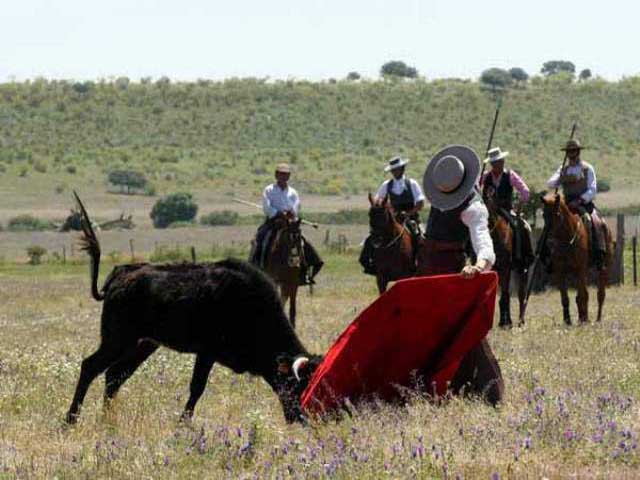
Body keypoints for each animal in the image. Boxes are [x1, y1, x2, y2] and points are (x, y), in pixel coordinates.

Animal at [544, 193, 612, 324]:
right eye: (544, 215)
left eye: (557, 214)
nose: (549, 242)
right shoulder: (560, 271)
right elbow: (565, 298)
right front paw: (567, 320)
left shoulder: (581, 269)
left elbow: (582, 295)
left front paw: (583, 319)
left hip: (602, 268)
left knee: (600, 294)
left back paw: (596, 318)